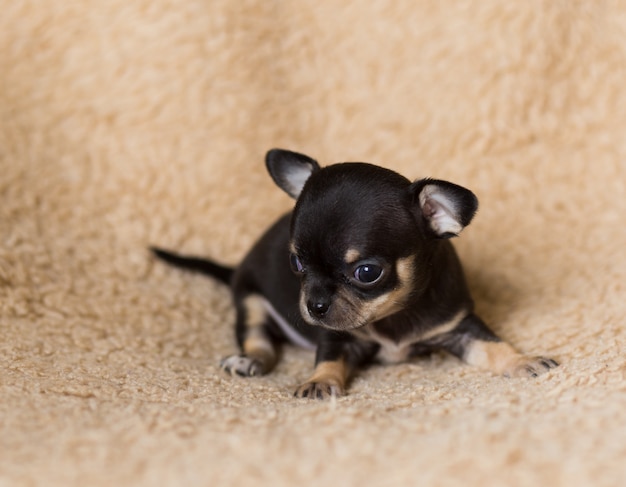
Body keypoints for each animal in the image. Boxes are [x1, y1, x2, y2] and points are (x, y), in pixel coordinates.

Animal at [151, 149, 556, 400]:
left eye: (367, 272)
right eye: (296, 263)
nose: (314, 305)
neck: (394, 314)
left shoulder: (461, 326)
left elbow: (493, 344)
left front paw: (521, 360)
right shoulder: (336, 338)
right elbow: (328, 359)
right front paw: (318, 382)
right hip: (249, 300)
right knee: (258, 340)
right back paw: (249, 360)